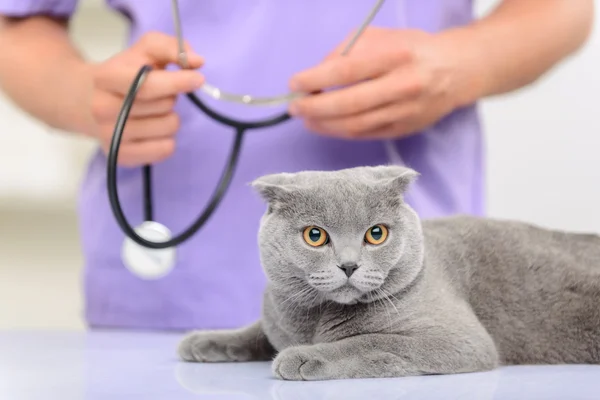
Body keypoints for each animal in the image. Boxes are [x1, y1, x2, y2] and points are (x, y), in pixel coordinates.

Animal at [177, 164, 600, 380]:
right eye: (315, 235)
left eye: (376, 234)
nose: (349, 264)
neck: (313, 321)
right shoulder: (278, 309)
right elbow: (259, 331)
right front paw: (206, 341)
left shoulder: (458, 339)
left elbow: (371, 341)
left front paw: (303, 357)